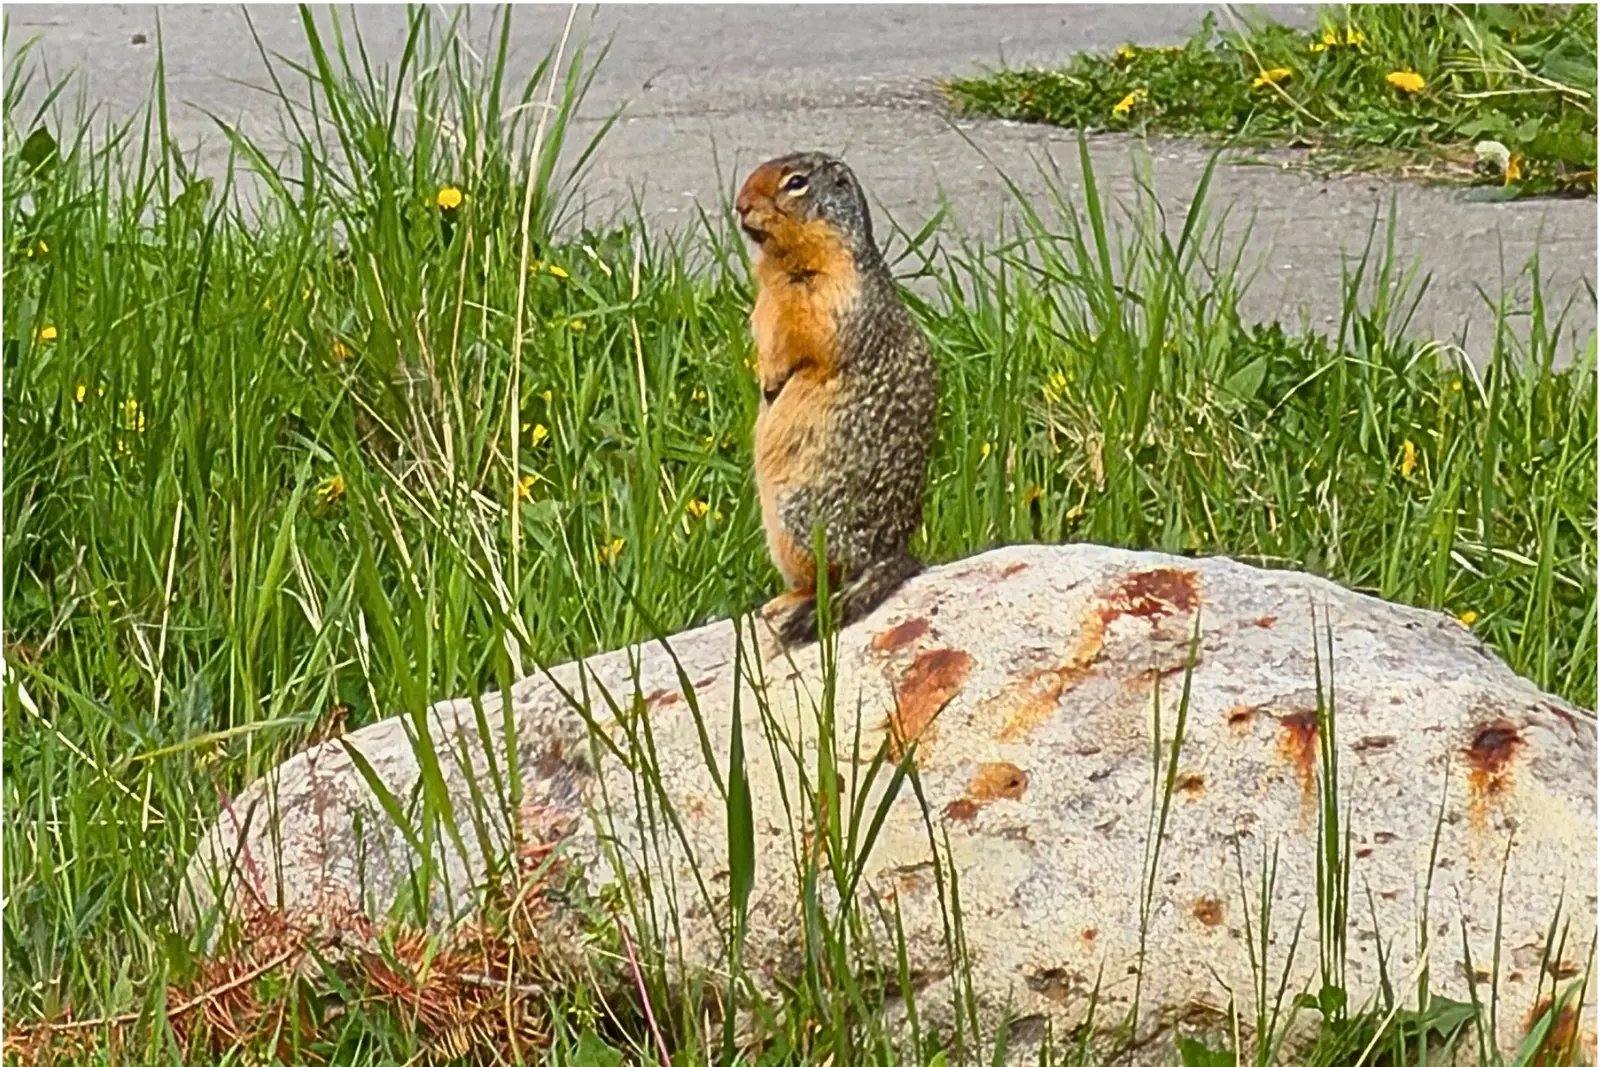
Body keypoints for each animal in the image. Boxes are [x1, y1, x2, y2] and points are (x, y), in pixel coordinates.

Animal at [734, 151, 938, 649]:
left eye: (796, 182)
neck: (782, 263)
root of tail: (891, 554)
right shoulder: (768, 301)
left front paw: (775, 381)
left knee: (830, 578)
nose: (740, 205)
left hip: (799, 517)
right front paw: (766, 380)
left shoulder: (832, 293)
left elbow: (808, 344)